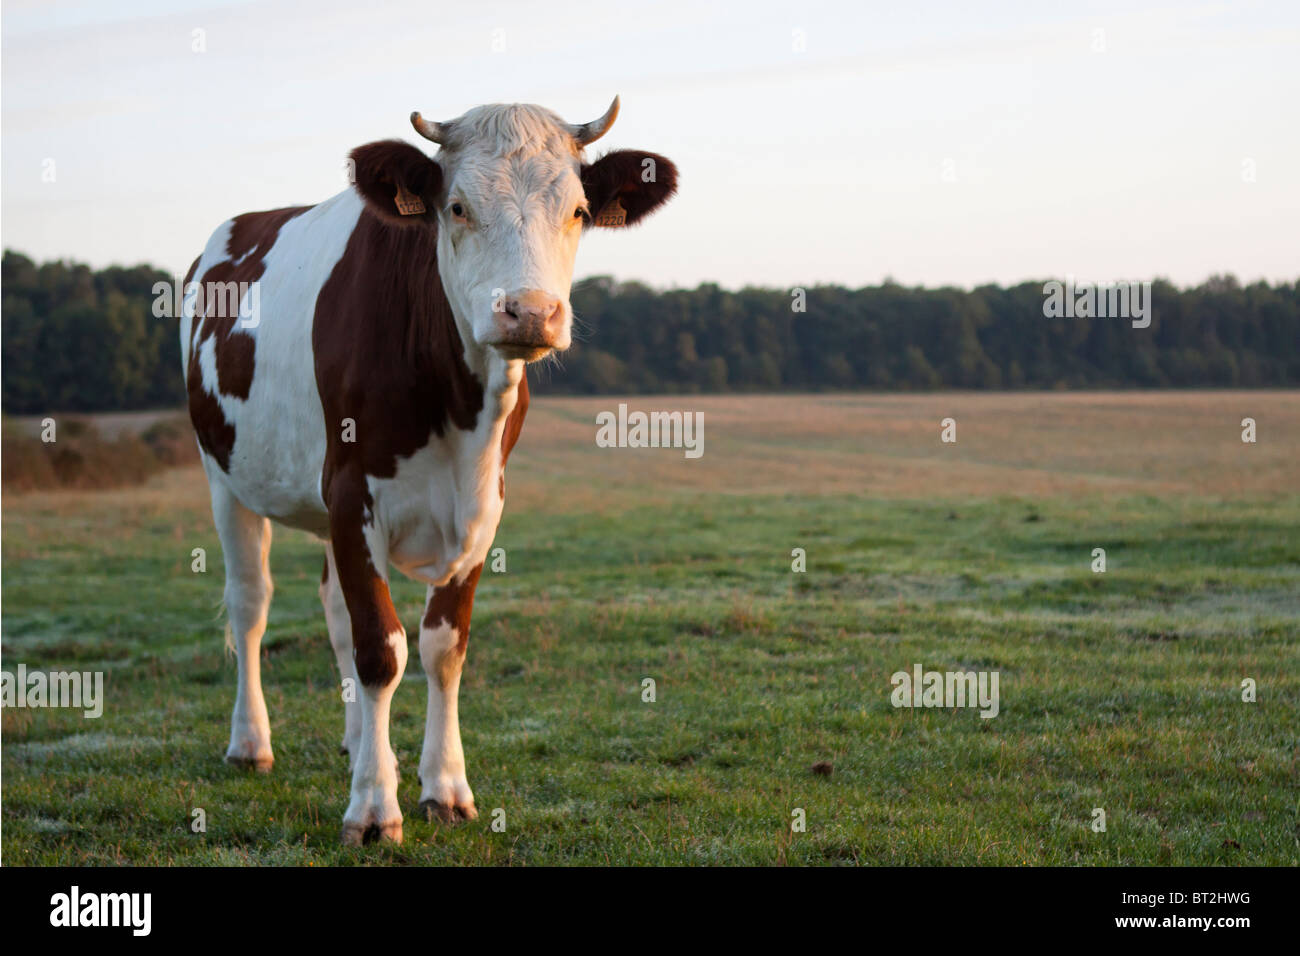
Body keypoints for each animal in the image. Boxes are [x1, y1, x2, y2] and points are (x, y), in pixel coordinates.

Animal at [179, 98, 677, 845]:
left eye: (580, 210)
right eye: (458, 207)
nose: (529, 311)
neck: (457, 405)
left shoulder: (482, 504)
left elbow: (442, 648)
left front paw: (443, 787)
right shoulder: (352, 489)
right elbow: (381, 650)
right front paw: (372, 810)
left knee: (333, 608)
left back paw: (361, 742)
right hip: (224, 478)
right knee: (250, 605)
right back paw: (251, 744)